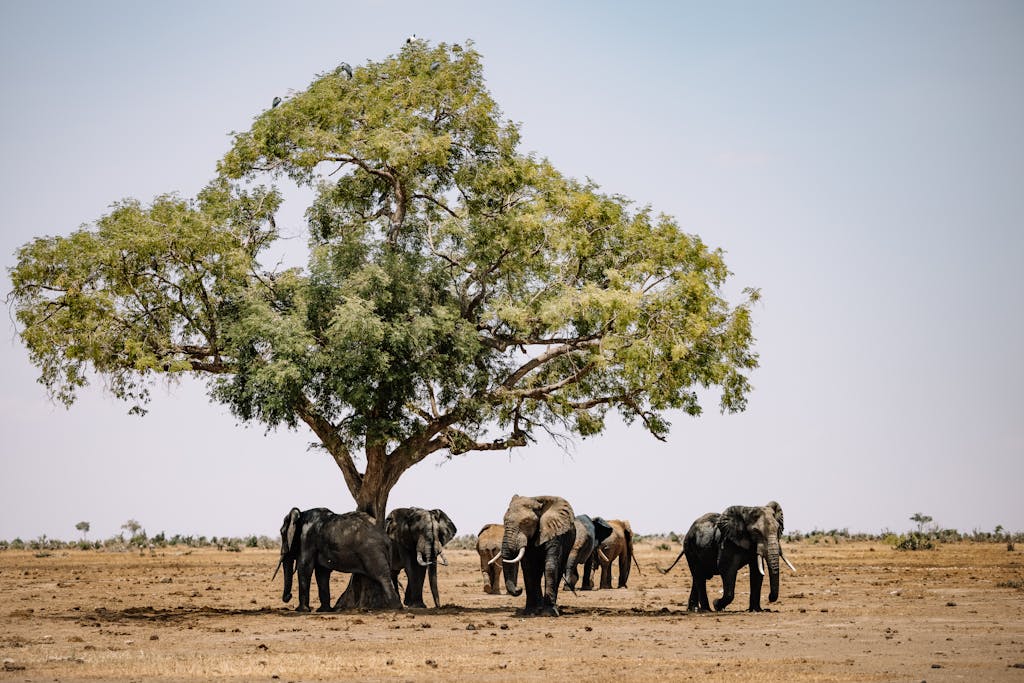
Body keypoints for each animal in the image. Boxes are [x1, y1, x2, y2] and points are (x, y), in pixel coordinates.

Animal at [659, 501, 796, 612]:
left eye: (778, 529)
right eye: (756, 531)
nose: (769, 597)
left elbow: (757, 572)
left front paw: (757, 610)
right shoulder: (728, 541)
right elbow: (727, 568)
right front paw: (717, 604)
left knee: (697, 577)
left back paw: (693, 609)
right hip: (690, 548)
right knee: (699, 576)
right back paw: (706, 610)